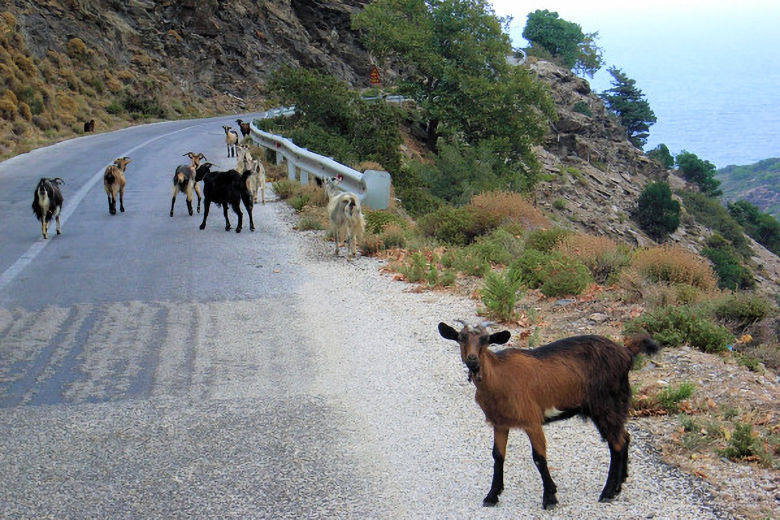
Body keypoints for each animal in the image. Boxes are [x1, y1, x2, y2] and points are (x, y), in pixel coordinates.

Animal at [436, 322, 660, 510]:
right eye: (461, 338)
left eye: (486, 340)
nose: (472, 360)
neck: (498, 378)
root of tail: (626, 353)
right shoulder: (500, 423)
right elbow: (498, 456)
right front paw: (492, 496)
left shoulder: (532, 421)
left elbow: (539, 458)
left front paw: (550, 498)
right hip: (613, 407)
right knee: (624, 439)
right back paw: (619, 486)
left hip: (606, 404)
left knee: (617, 444)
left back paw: (607, 493)